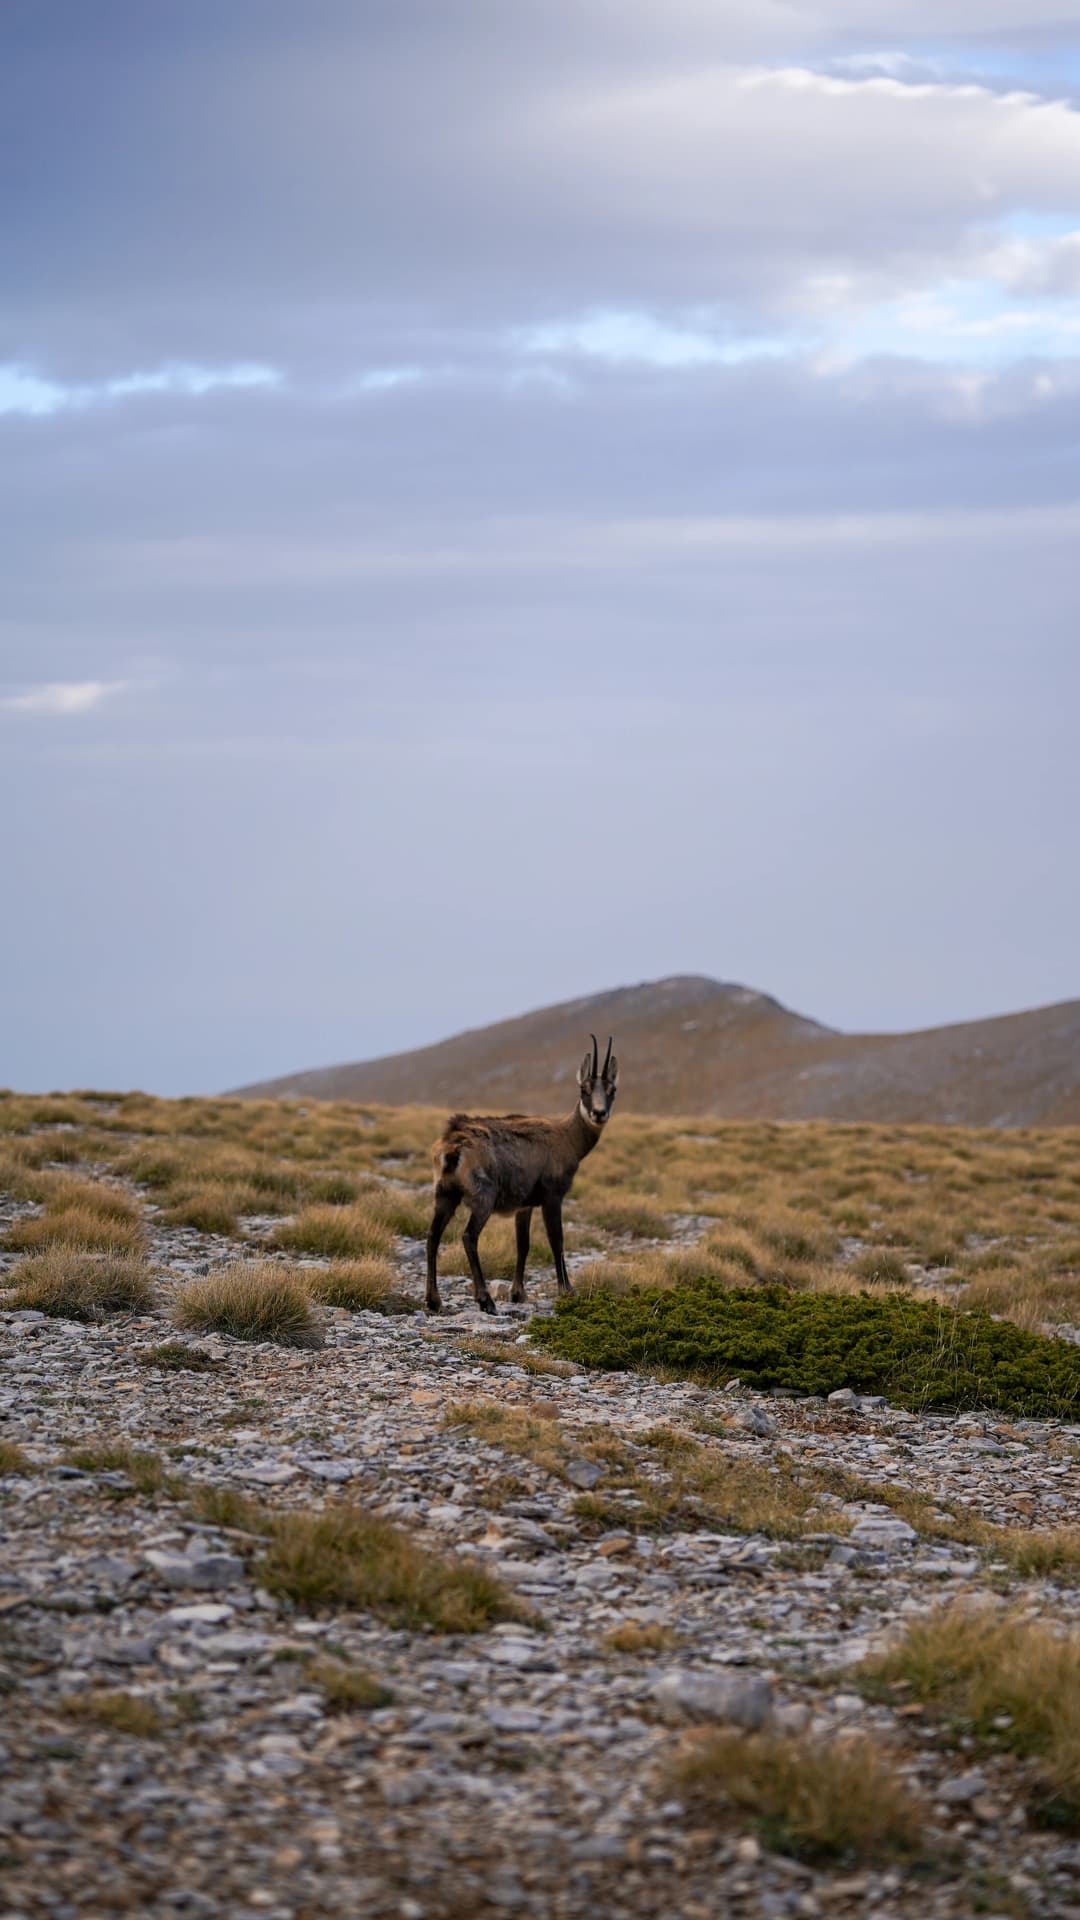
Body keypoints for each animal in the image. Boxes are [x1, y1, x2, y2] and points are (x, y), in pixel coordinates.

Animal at [425, 1034, 619, 1315]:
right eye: (584, 1090)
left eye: (612, 1090)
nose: (599, 1113)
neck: (566, 1137)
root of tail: (455, 1145)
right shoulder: (552, 1196)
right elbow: (556, 1240)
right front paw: (567, 1290)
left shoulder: (524, 1205)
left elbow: (523, 1244)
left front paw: (518, 1293)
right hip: (483, 1197)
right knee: (469, 1236)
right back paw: (485, 1300)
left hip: (444, 1195)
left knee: (433, 1236)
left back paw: (434, 1300)